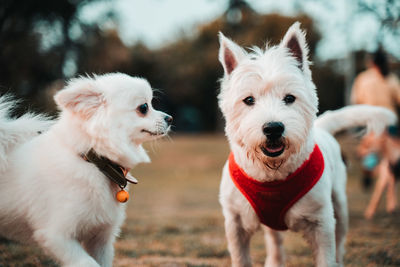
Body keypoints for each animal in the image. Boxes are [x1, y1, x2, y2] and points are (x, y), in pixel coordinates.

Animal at [0, 72, 170, 266]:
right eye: (144, 107)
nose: (170, 118)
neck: (94, 162)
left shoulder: (100, 240)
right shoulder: (55, 236)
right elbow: (88, 263)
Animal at [217, 23, 396, 267]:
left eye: (290, 98)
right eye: (249, 100)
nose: (273, 128)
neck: (272, 173)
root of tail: (323, 125)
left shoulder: (321, 223)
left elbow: (326, 255)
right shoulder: (236, 224)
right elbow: (241, 257)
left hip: (339, 205)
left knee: (339, 242)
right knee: (275, 241)